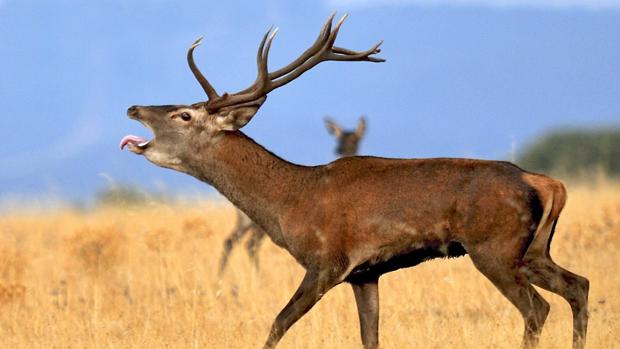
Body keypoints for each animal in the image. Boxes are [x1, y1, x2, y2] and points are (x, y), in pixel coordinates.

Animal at [217, 115, 366, 276]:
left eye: (355, 139)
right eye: (339, 139)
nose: (340, 149)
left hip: (245, 222)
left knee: (230, 241)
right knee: (250, 244)